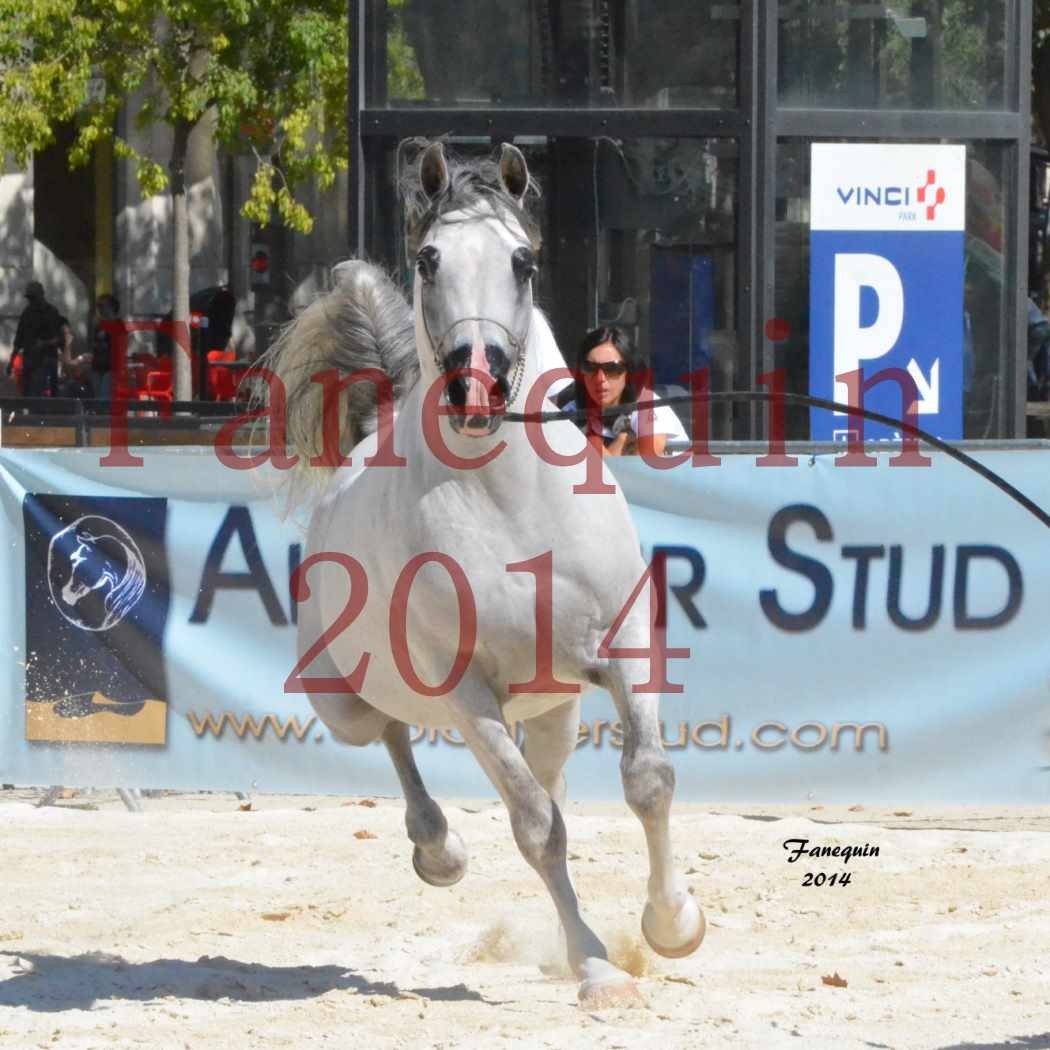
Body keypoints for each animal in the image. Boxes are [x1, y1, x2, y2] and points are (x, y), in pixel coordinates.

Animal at [268, 143, 705, 1003]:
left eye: (523, 260)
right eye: (429, 259)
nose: (479, 384)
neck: (511, 505)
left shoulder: (624, 650)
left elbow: (647, 782)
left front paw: (673, 927)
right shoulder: (468, 695)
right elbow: (536, 828)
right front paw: (598, 970)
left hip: (555, 706)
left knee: (549, 775)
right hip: (350, 701)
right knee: (394, 736)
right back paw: (439, 851)